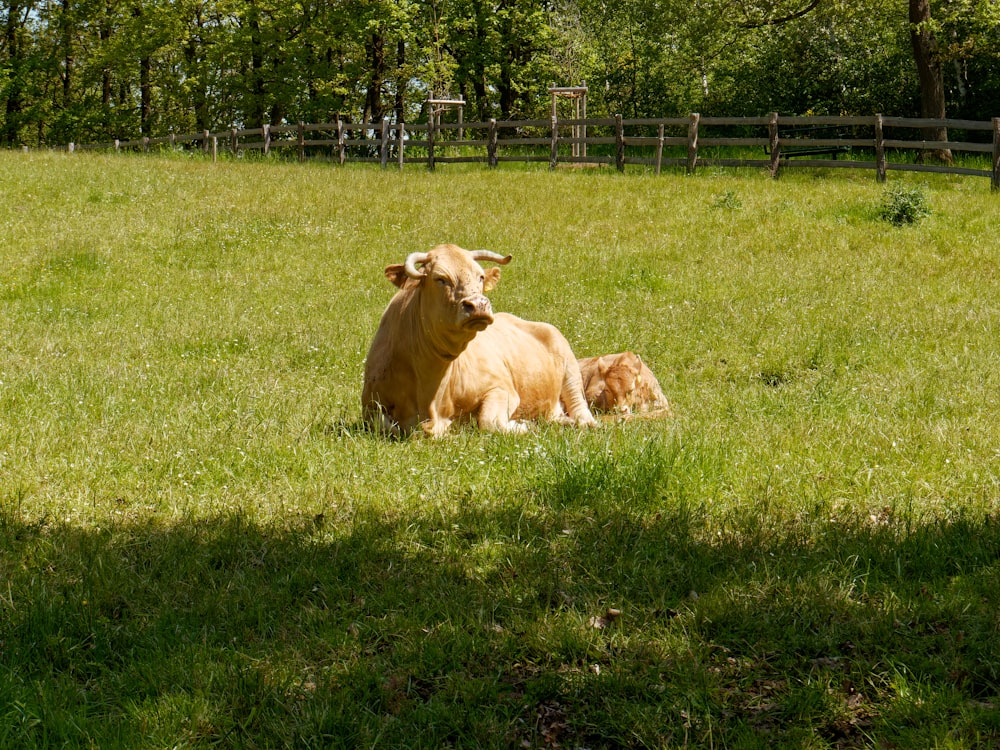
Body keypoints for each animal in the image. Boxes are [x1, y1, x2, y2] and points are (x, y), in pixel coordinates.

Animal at [360, 244, 592, 438]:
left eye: (480, 276)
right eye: (440, 278)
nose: (478, 304)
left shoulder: (502, 388)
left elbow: (489, 422)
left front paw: (523, 425)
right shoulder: (370, 407)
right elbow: (385, 425)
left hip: (569, 367)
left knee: (580, 406)